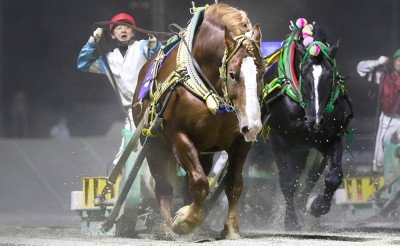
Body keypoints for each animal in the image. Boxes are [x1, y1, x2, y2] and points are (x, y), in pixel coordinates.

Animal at [131, 2, 264, 239]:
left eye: (261, 72)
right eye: (232, 74)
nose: (254, 125)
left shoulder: (240, 142)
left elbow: (234, 184)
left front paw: (231, 228)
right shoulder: (180, 137)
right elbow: (200, 183)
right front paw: (184, 221)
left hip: (204, 152)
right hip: (154, 145)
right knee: (163, 187)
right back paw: (168, 226)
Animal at [262, 21, 354, 231]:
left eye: (329, 76)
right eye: (303, 74)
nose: (314, 120)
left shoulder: (332, 137)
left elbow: (333, 176)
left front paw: (318, 206)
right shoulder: (279, 140)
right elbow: (287, 182)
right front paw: (291, 221)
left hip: (301, 149)